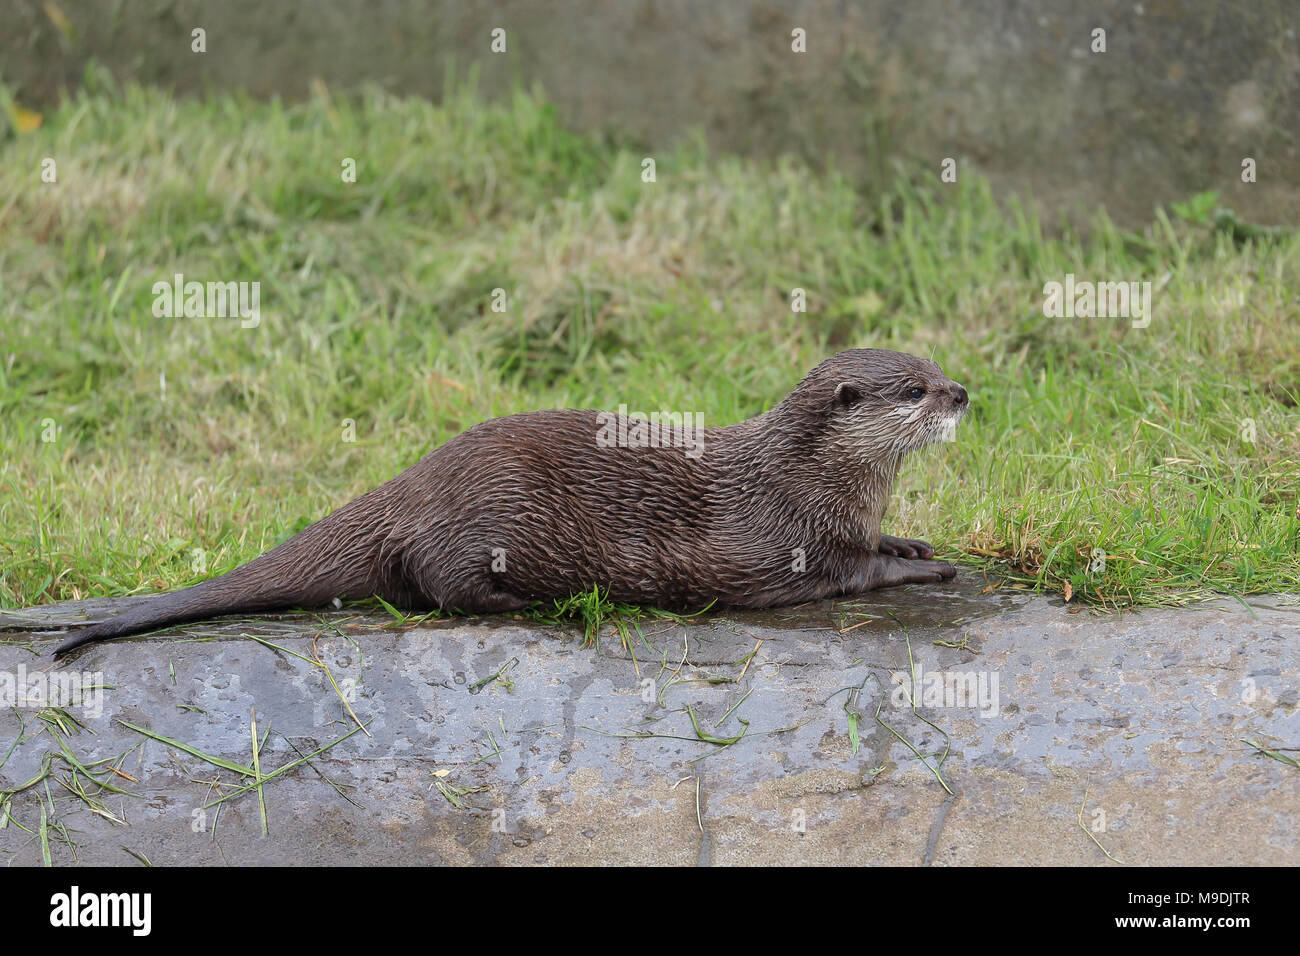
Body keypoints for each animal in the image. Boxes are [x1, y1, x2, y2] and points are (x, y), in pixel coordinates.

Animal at [52, 349, 967, 656]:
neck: (811, 477)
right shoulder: (790, 537)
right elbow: (848, 575)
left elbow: (880, 541)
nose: (965, 392)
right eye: (913, 390)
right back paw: (531, 602)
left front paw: (911, 542)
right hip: (489, 512)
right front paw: (920, 571)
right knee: (441, 590)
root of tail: (414, 480)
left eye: (934, 363)